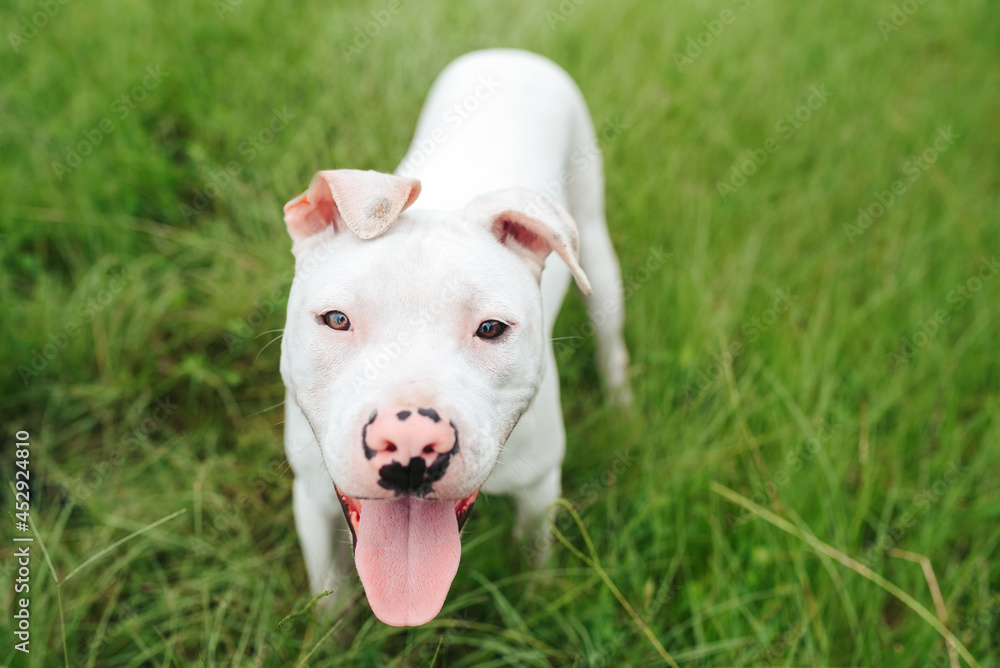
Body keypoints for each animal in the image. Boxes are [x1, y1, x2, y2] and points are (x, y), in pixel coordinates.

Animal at [278, 48, 628, 628]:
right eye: (336, 320)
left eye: (491, 329)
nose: (411, 442)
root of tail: (512, 53)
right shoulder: (309, 496)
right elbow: (327, 589)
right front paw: (330, 634)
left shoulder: (540, 489)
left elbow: (535, 558)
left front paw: (535, 606)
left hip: (596, 247)